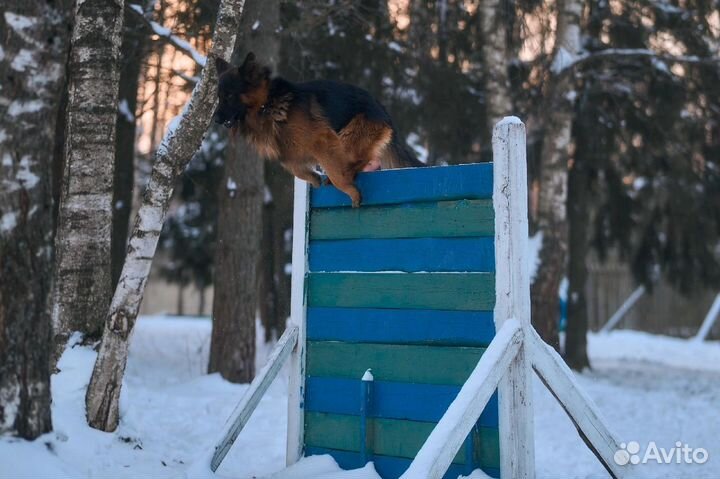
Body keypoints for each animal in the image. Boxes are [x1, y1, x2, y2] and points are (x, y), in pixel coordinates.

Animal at [212, 53, 422, 207]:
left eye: (229, 96)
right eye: (219, 97)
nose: (215, 119)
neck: (267, 104)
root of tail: (384, 111)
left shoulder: (322, 140)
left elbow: (336, 172)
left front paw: (350, 190)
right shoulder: (287, 150)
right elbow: (295, 168)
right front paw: (313, 179)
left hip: (347, 136)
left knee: (362, 159)